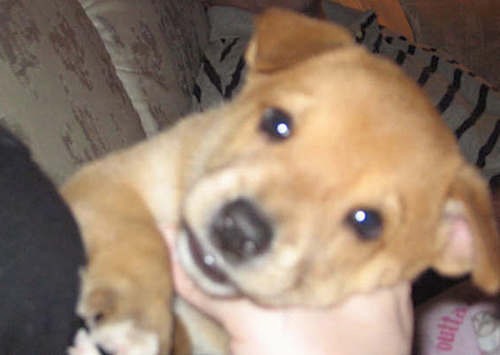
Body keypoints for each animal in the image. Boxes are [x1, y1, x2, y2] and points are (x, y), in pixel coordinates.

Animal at [63, 7, 500, 355]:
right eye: (277, 122)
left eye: (367, 222)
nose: (239, 229)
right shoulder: (115, 176)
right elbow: (136, 236)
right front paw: (135, 316)